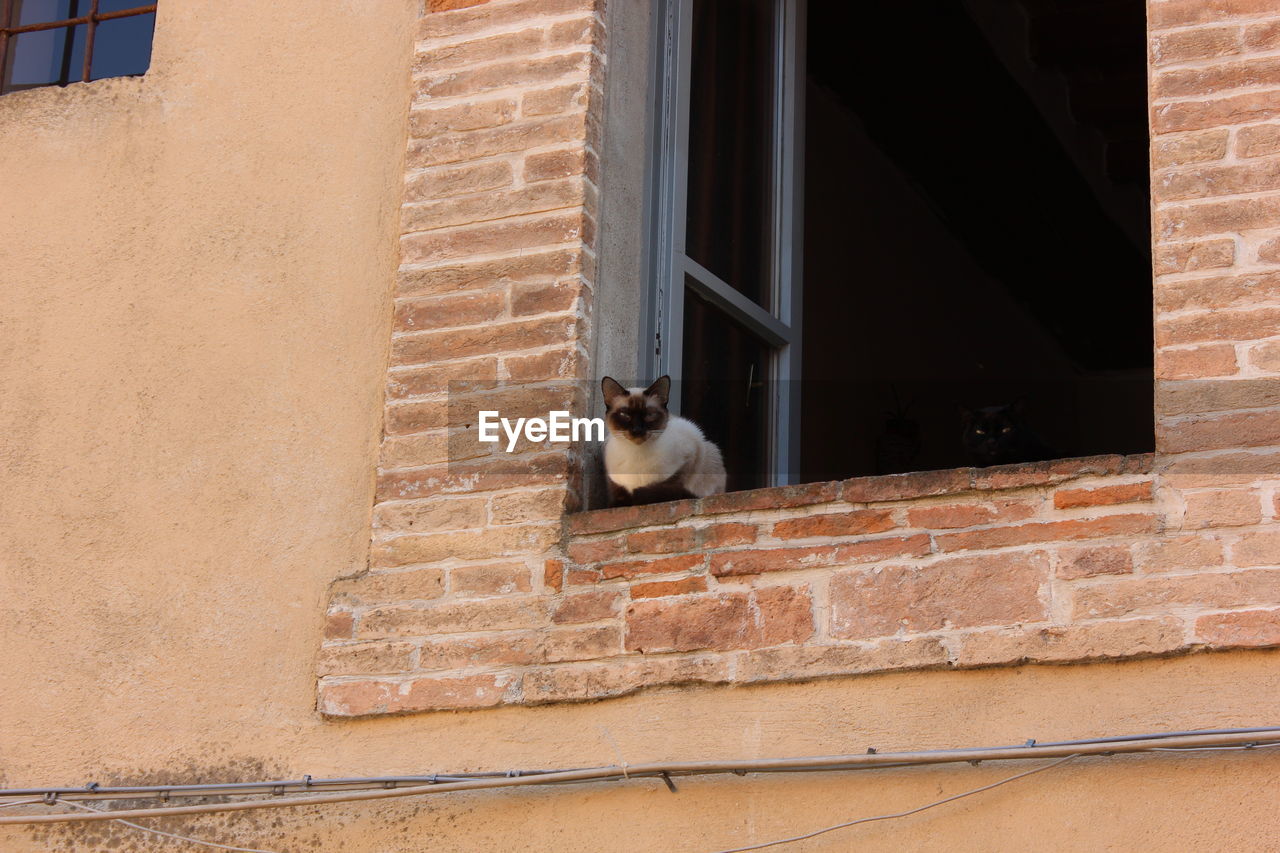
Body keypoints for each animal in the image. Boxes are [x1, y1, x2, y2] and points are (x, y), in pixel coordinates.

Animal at [596, 373, 721, 504]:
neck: (636, 453)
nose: (637, 430)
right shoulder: (615, 482)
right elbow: (619, 497)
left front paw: (638, 496)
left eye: (649, 415)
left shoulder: (688, 458)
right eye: (624, 415)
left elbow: (663, 487)